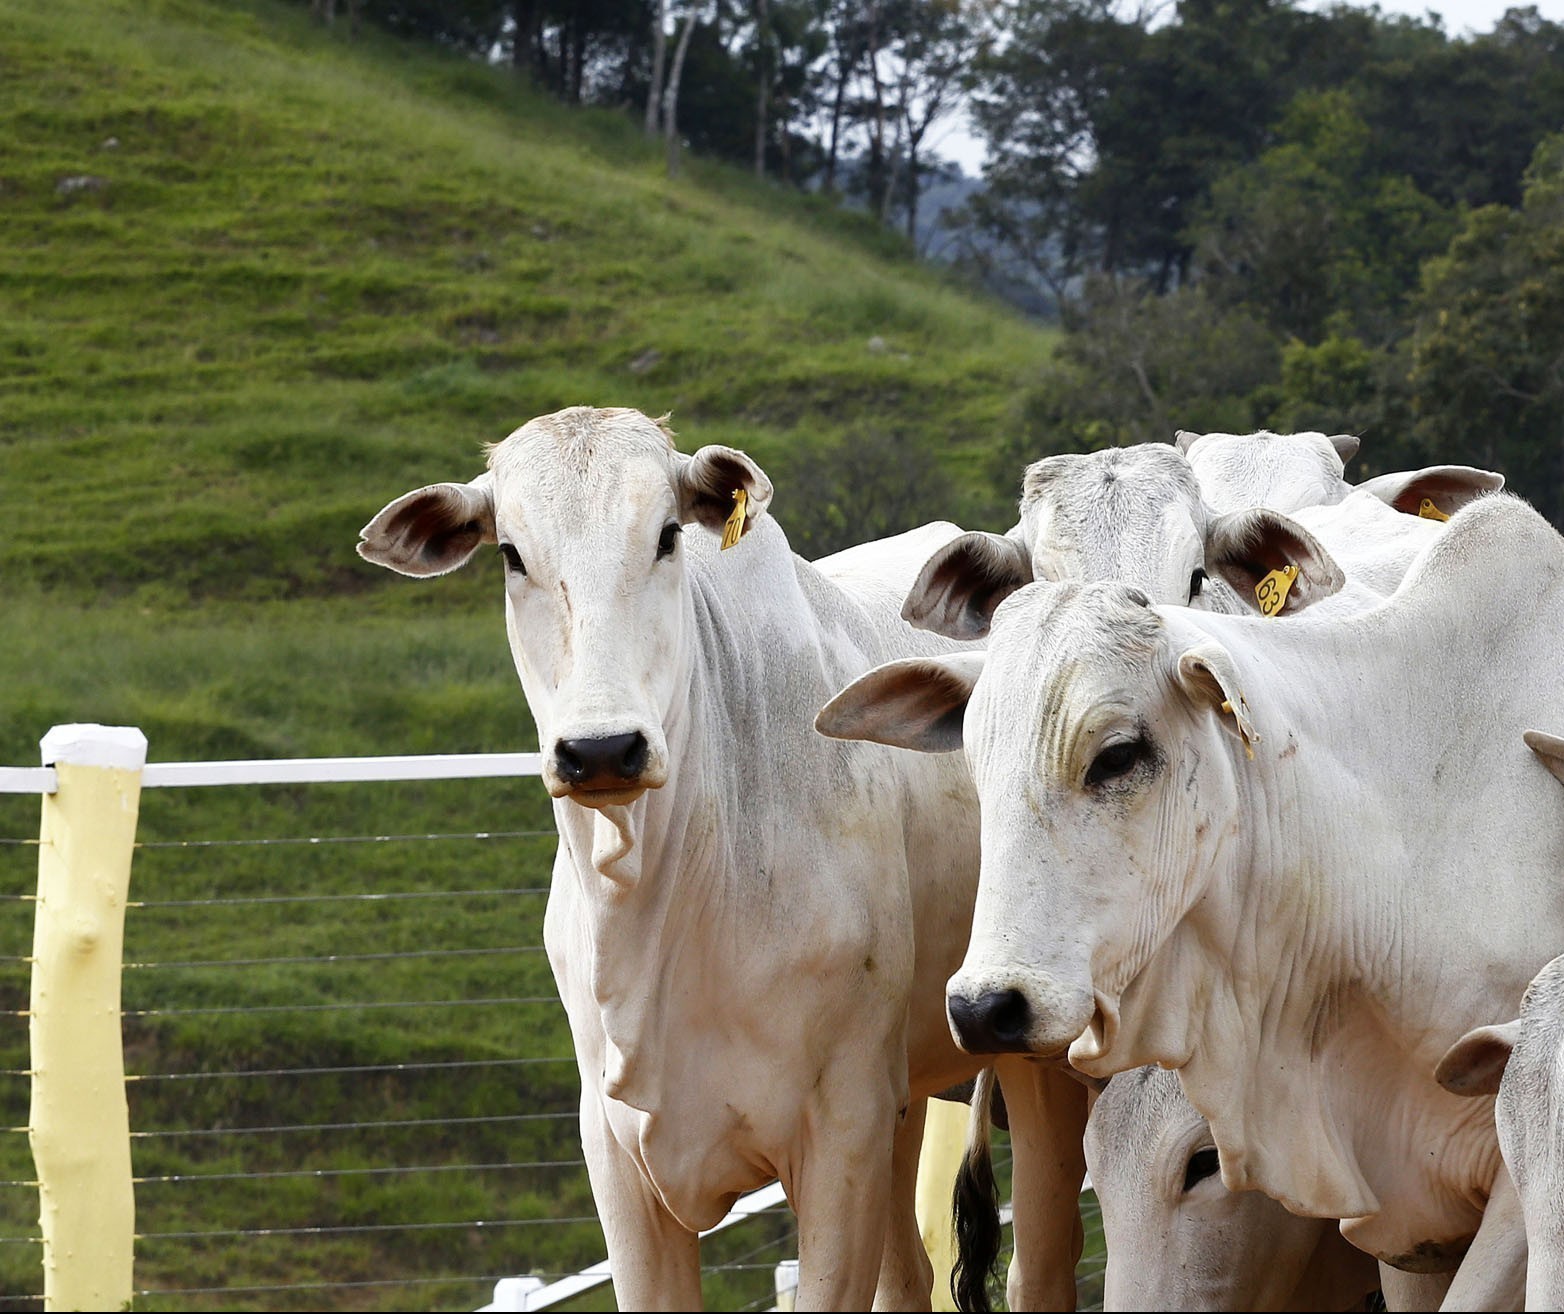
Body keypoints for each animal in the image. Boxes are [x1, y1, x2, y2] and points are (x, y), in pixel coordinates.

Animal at [356, 406, 1094, 1307]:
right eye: (510, 553)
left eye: (667, 534)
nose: (601, 750)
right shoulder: (620, 1162)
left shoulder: (839, 1138)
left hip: (1030, 1065)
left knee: (1041, 1261)